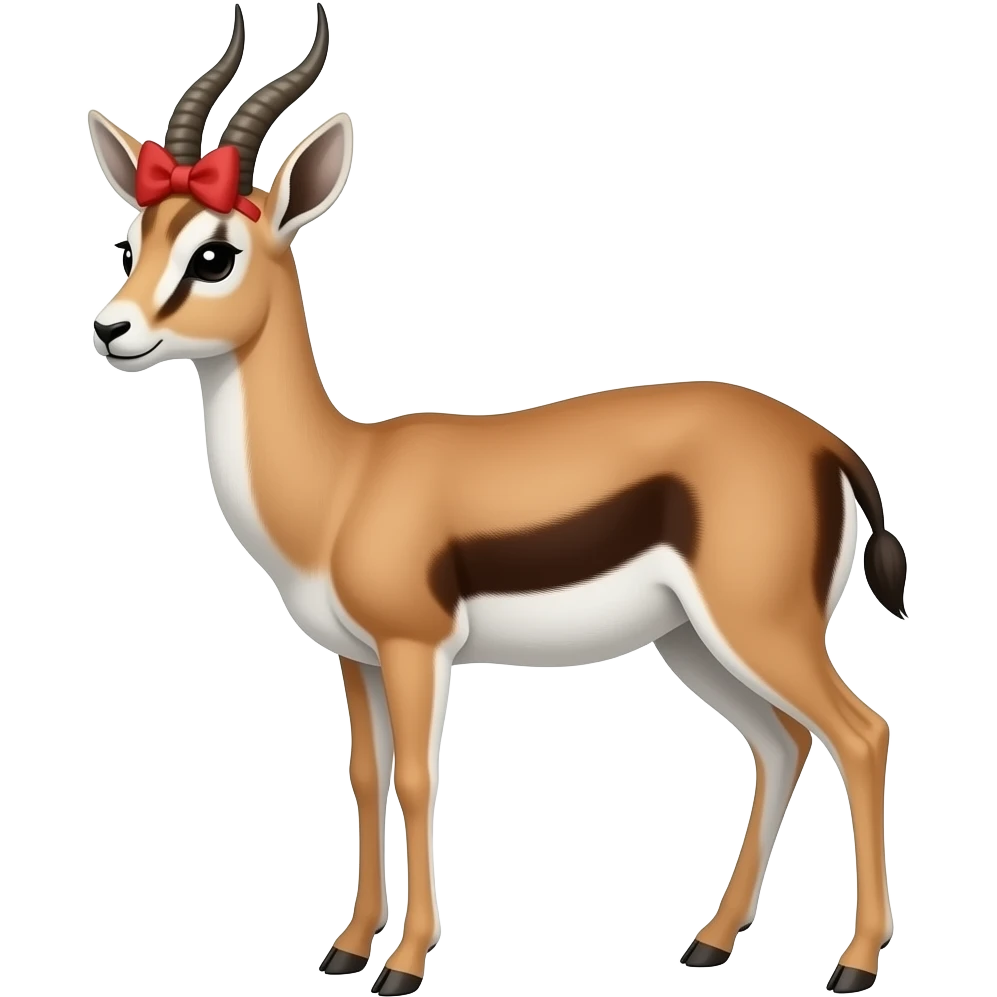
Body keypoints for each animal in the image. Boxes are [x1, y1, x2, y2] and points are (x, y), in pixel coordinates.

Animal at [88, 6, 904, 995]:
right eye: (137, 236)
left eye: (214, 254)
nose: (112, 329)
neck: (344, 479)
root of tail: (823, 441)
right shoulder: (354, 657)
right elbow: (364, 775)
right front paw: (346, 946)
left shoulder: (415, 648)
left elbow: (416, 778)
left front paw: (403, 962)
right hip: (693, 640)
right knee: (782, 742)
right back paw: (710, 941)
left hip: (762, 625)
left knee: (860, 733)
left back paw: (853, 963)